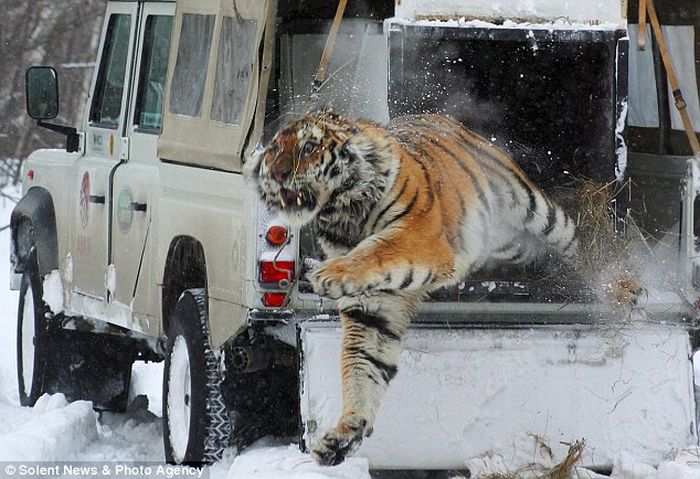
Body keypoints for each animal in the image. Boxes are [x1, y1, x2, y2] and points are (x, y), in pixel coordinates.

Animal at [243, 109, 576, 464]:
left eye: (308, 147)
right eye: (275, 149)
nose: (277, 174)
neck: (343, 212)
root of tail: (444, 118)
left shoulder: (417, 236)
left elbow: (376, 249)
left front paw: (329, 273)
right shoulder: (372, 306)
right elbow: (361, 363)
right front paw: (345, 434)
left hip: (535, 210)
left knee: (571, 236)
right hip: (507, 242)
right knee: (533, 251)